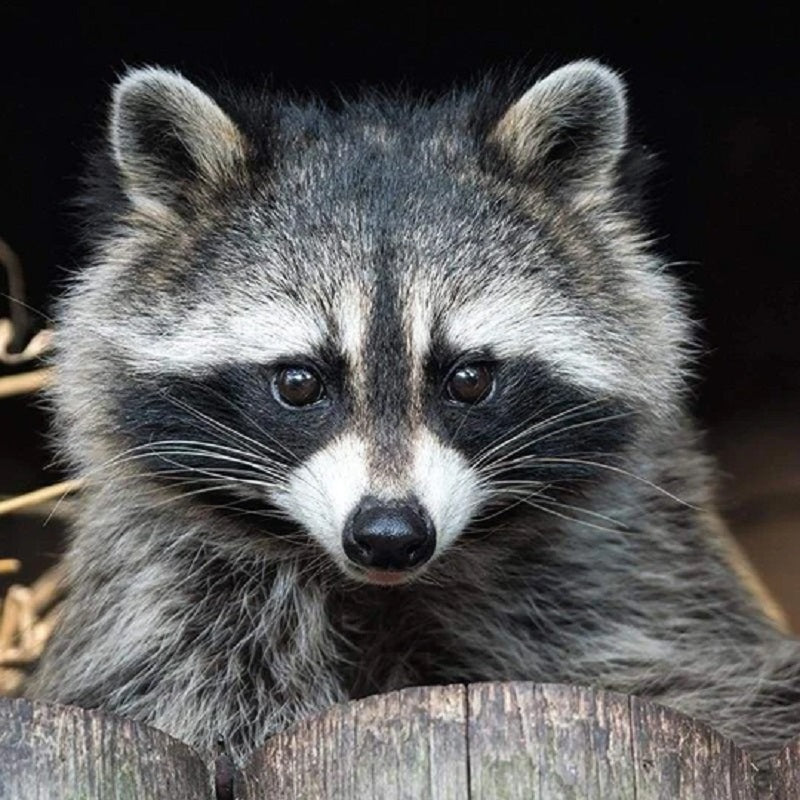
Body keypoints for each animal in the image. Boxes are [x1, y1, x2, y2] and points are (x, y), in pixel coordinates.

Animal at [31, 60, 800, 764]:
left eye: (469, 379)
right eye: (299, 383)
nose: (389, 536)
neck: (381, 591)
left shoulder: (634, 570)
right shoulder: (170, 590)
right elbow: (187, 686)